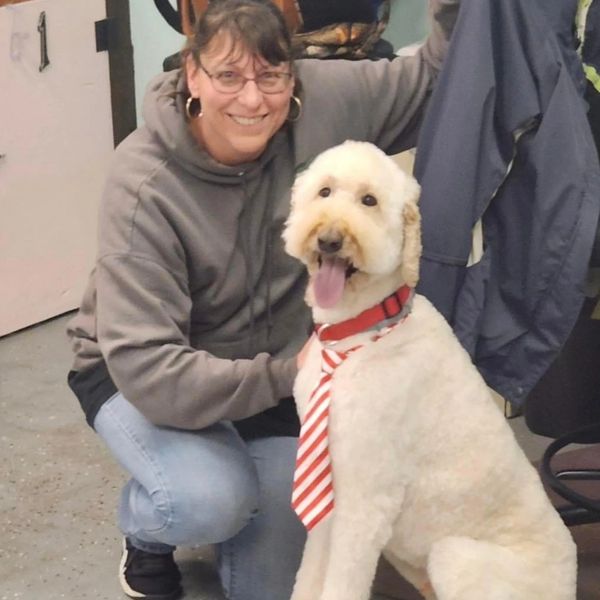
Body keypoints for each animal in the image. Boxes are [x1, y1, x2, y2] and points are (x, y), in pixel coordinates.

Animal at [284, 141, 580, 600]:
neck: (362, 333)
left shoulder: (366, 502)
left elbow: (342, 583)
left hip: (454, 557)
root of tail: (570, 582)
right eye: (325, 191)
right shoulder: (329, 489)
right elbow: (310, 575)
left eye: (369, 201)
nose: (330, 239)